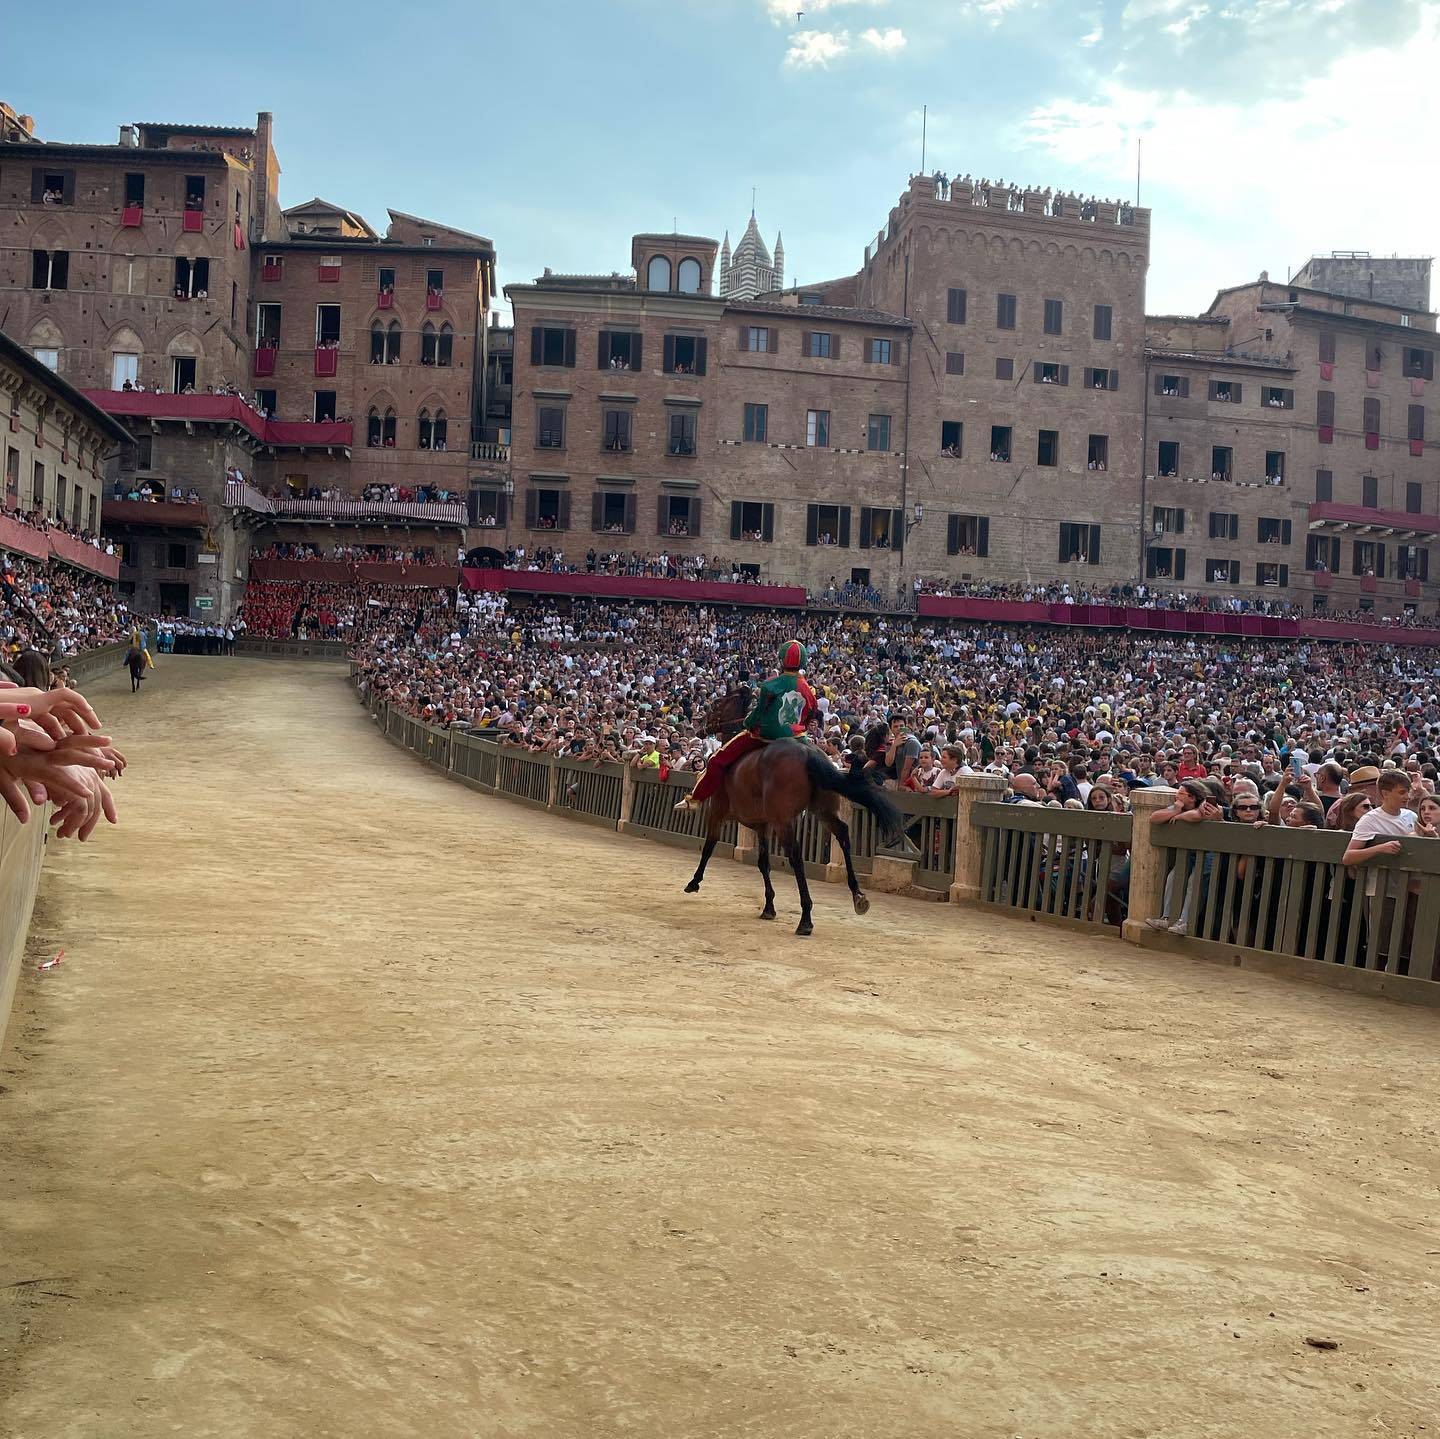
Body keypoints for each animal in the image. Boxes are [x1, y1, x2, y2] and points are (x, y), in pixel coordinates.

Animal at [682, 688, 898, 939]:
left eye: (716, 705)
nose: (701, 728)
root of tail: (808, 752)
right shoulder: (762, 825)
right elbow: (763, 862)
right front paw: (768, 907)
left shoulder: (719, 812)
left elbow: (709, 846)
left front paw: (694, 882)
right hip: (821, 810)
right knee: (842, 834)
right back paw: (857, 895)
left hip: (783, 821)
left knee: (796, 856)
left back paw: (806, 918)